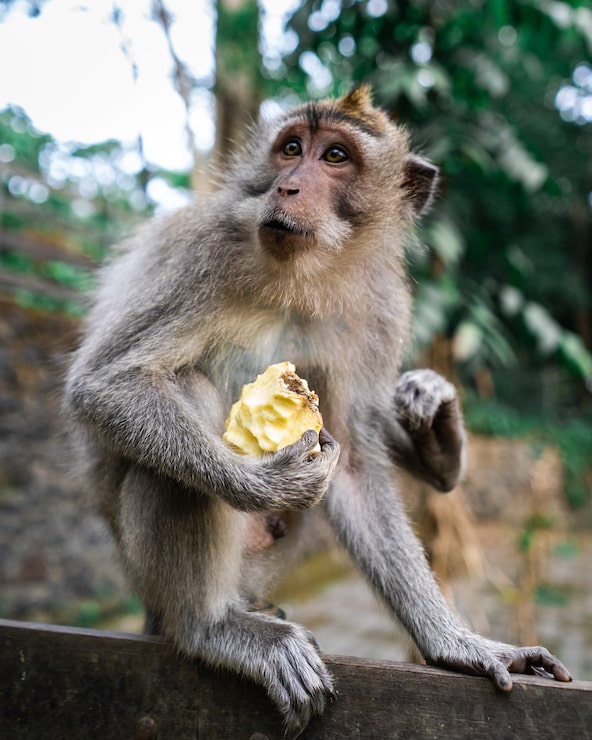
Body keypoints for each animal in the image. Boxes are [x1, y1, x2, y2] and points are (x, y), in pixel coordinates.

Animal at [63, 86, 571, 736]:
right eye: (290, 149)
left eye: (335, 156)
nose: (288, 187)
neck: (305, 271)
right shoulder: (205, 252)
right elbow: (106, 384)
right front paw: (260, 484)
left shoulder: (380, 306)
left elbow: (351, 462)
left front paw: (458, 645)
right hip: (145, 570)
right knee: (185, 390)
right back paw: (211, 627)